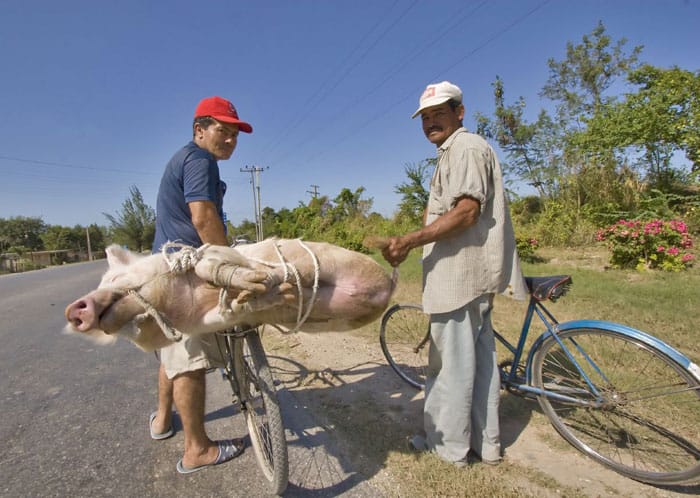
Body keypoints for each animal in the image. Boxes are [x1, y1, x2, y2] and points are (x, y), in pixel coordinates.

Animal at [64, 239, 394, 352]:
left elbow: (209, 264)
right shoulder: (203, 322)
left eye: (113, 279)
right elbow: (229, 312)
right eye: (122, 334)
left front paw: (254, 282)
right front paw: (248, 298)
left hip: (331, 259)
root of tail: (389, 285)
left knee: (296, 268)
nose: (73, 310)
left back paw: (277, 277)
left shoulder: (211, 253)